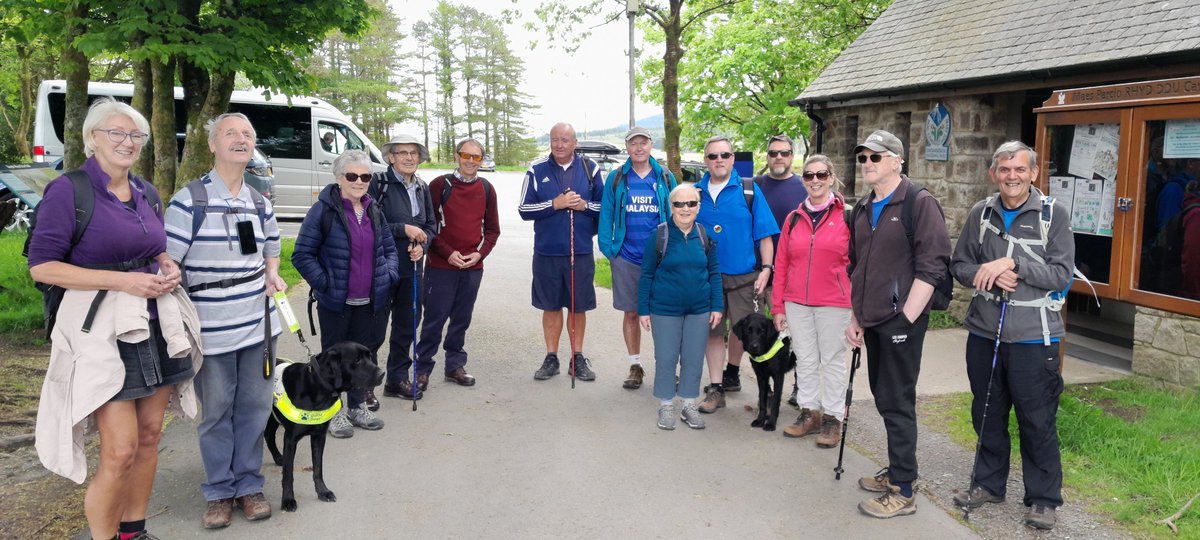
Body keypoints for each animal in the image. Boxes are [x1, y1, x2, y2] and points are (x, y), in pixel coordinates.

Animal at [265, 340, 381, 511]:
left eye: (369, 356)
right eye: (357, 360)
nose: (382, 374)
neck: (315, 386)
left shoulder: (318, 437)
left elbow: (318, 469)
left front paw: (323, 491)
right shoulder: (290, 440)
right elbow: (288, 474)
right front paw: (287, 499)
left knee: (268, 435)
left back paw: (278, 457)